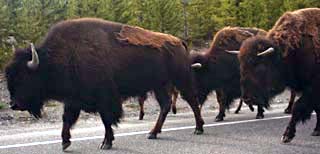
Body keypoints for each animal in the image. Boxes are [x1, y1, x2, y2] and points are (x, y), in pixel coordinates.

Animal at [5, 17, 205, 150]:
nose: (14, 104)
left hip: (180, 79)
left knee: (192, 101)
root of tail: (179, 41)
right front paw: (65, 142)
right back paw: (152, 133)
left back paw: (198, 129)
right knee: (165, 105)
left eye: (24, 78)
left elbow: (106, 119)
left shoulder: (105, 98)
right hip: (159, 85)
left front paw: (106, 143)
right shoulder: (73, 99)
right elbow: (67, 119)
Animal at [236, 7, 320, 143]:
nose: (247, 98)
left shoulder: (312, 89)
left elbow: (298, 107)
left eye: (259, 66)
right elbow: (316, 109)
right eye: (242, 67)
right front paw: (316, 131)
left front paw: (286, 136)